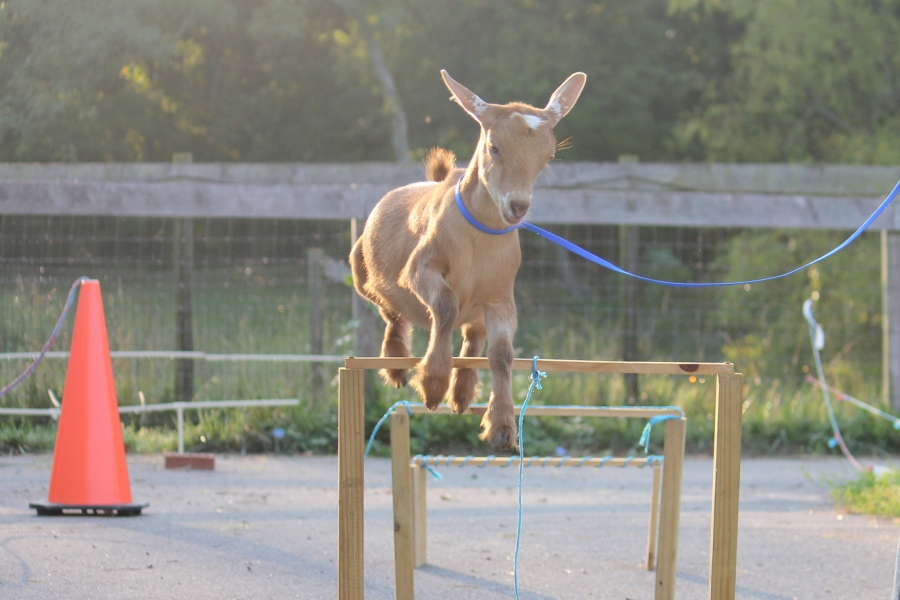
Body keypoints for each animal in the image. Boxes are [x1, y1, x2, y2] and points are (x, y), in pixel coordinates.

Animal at [348, 68, 588, 448]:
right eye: (493, 146)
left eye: (548, 155)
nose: (517, 207)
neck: (478, 240)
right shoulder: (420, 267)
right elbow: (445, 304)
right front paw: (432, 383)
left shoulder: (501, 293)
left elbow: (502, 353)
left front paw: (502, 425)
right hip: (364, 274)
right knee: (391, 313)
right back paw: (398, 365)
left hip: (476, 306)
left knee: (473, 333)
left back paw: (462, 392)